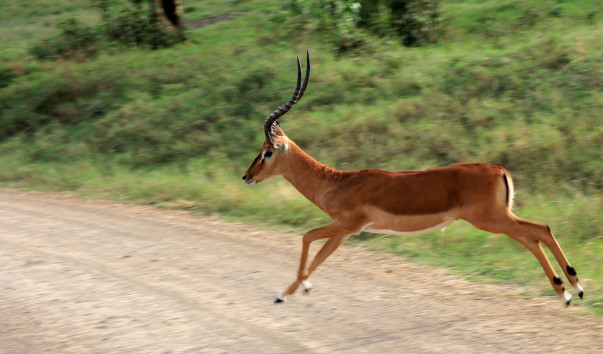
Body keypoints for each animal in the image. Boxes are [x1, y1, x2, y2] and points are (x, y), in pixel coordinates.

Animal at [242, 51, 584, 304]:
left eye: (267, 152)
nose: (246, 176)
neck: (337, 183)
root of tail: (499, 170)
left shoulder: (346, 224)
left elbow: (306, 236)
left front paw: (285, 293)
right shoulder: (346, 232)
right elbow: (319, 254)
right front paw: (301, 287)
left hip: (492, 219)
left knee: (541, 229)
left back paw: (574, 289)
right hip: (499, 219)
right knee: (532, 237)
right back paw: (566, 291)